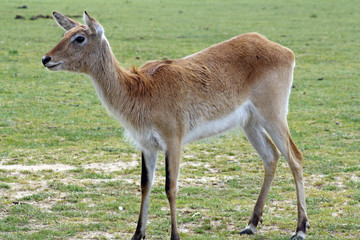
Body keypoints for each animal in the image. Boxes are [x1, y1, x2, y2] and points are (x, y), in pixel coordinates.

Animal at [43, 11, 310, 240]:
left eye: (80, 37)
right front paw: (137, 234)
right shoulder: (147, 145)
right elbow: (145, 185)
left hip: (273, 114)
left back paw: (300, 229)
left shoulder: (173, 141)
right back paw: (251, 225)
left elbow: (170, 187)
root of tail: (285, 51)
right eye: (64, 34)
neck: (140, 90)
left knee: (295, 157)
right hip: (250, 123)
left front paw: (175, 235)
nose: (46, 58)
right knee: (271, 157)